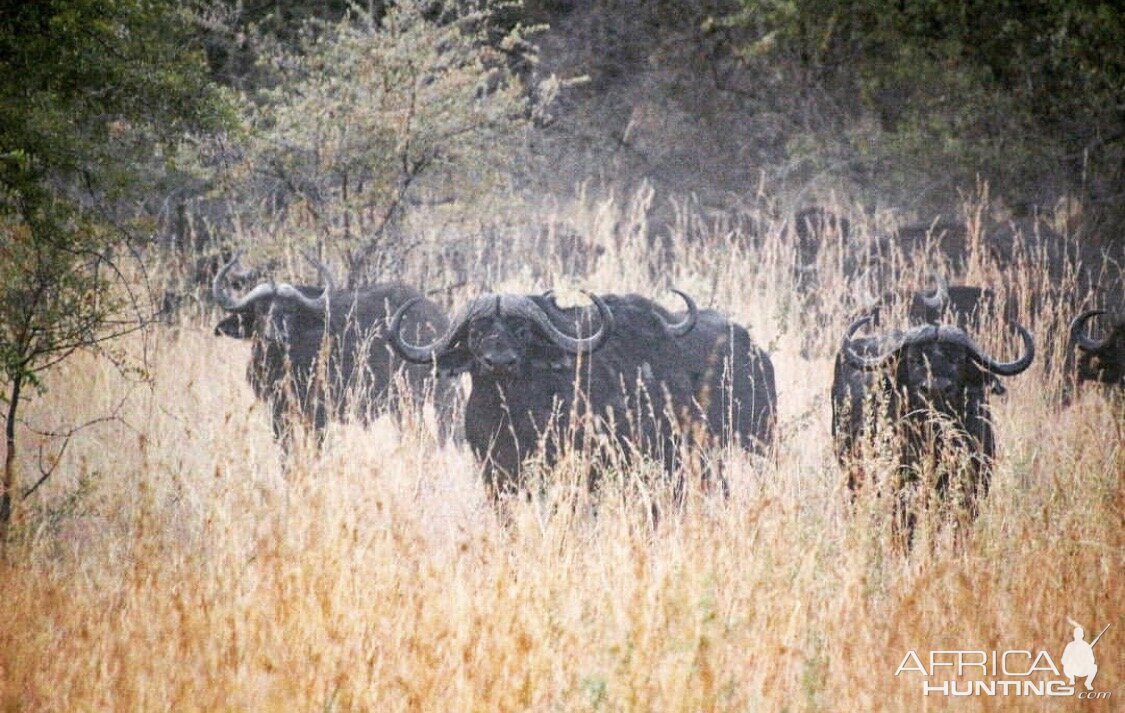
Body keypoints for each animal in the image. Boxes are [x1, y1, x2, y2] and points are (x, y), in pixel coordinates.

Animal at [212, 255, 450, 445]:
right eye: (261, 310)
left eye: (289, 311)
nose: (276, 336)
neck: (281, 363)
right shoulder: (278, 414)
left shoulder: (319, 415)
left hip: (414, 403)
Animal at [387, 287, 774, 499]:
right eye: (476, 332)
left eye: (522, 331)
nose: (498, 361)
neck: (509, 414)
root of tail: (757, 356)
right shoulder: (496, 476)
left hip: (755, 446)